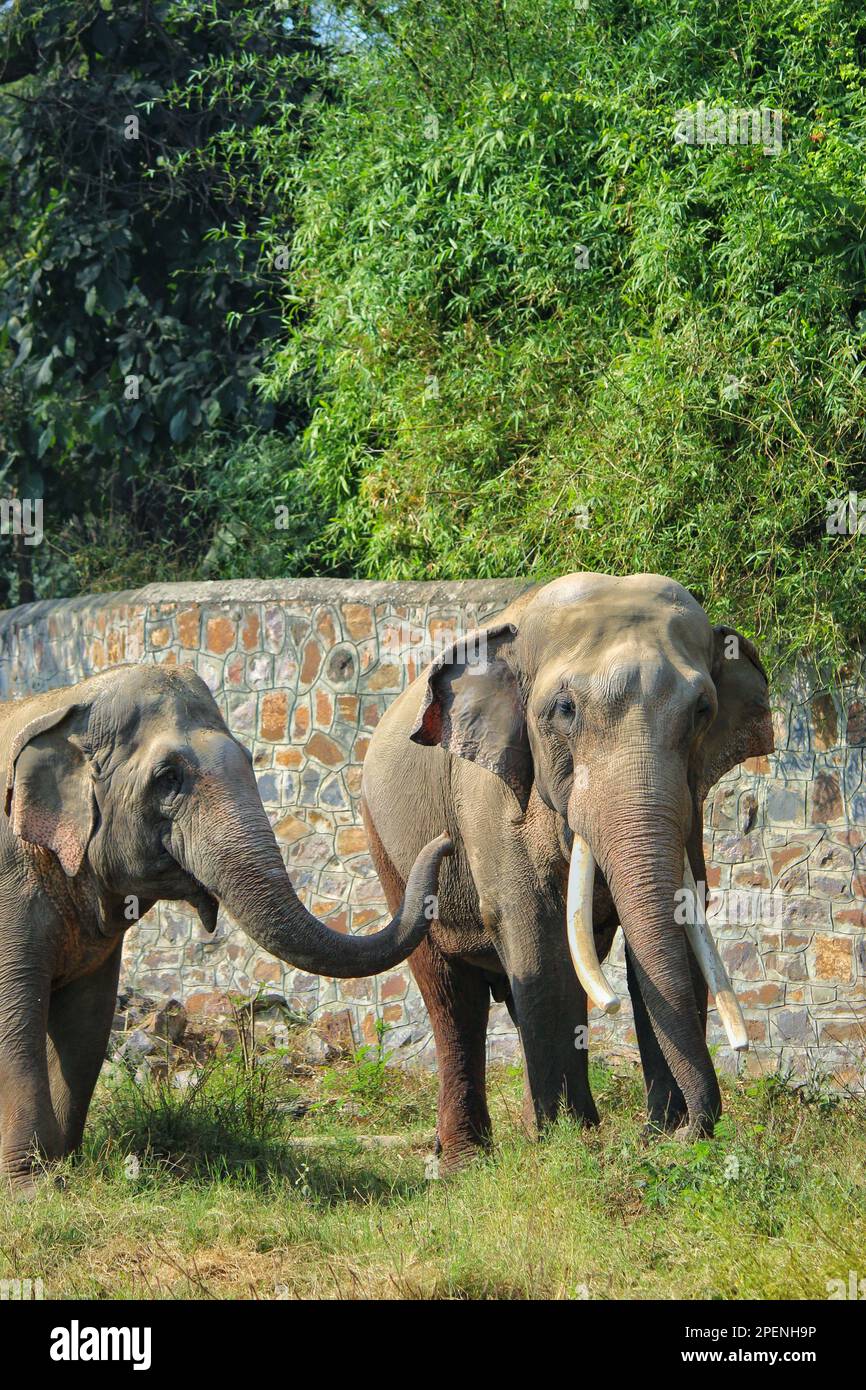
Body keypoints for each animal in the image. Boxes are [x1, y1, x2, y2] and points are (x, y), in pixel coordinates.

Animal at [0, 663, 451, 1195]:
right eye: (168, 777)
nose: (446, 838)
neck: (66, 702)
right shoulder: (10, 887)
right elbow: (16, 1018)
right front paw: (31, 1188)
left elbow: (85, 1023)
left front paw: (62, 1170)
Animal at [361, 573, 773, 1172]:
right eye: (564, 709)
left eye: (703, 710)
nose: (692, 1134)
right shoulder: (492, 800)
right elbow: (540, 945)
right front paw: (571, 1140)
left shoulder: (689, 807)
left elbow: (677, 936)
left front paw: (656, 1133)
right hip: (386, 845)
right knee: (450, 996)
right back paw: (464, 1160)